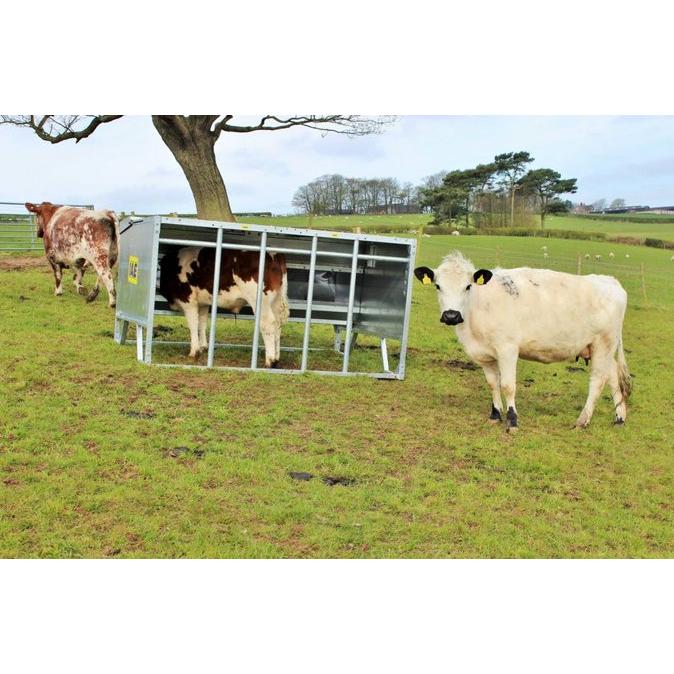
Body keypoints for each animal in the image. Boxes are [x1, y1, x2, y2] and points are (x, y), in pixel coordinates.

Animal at [159, 246, 290, 367]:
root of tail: (274, 254)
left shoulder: (188, 300)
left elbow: (193, 325)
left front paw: (194, 351)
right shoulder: (203, 303)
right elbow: (202, 323)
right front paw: (203, 347)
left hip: (260, 300)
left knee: (268, 324)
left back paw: (270, 361)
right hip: (276, 300)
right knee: (278, 324)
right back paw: (276, 358)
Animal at [414, 251, 632, 431]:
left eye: (468, 286)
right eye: (438, 286)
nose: (451, 315)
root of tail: (610, 281)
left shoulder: (508, 348)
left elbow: (508, 385)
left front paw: (512, 420)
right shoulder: (485, 355)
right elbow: (493, 383)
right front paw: (495, 415)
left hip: (603, 343)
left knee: (598, 380)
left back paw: (582, 420)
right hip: (600, 349)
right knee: (613, 376)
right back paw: (619, 417)